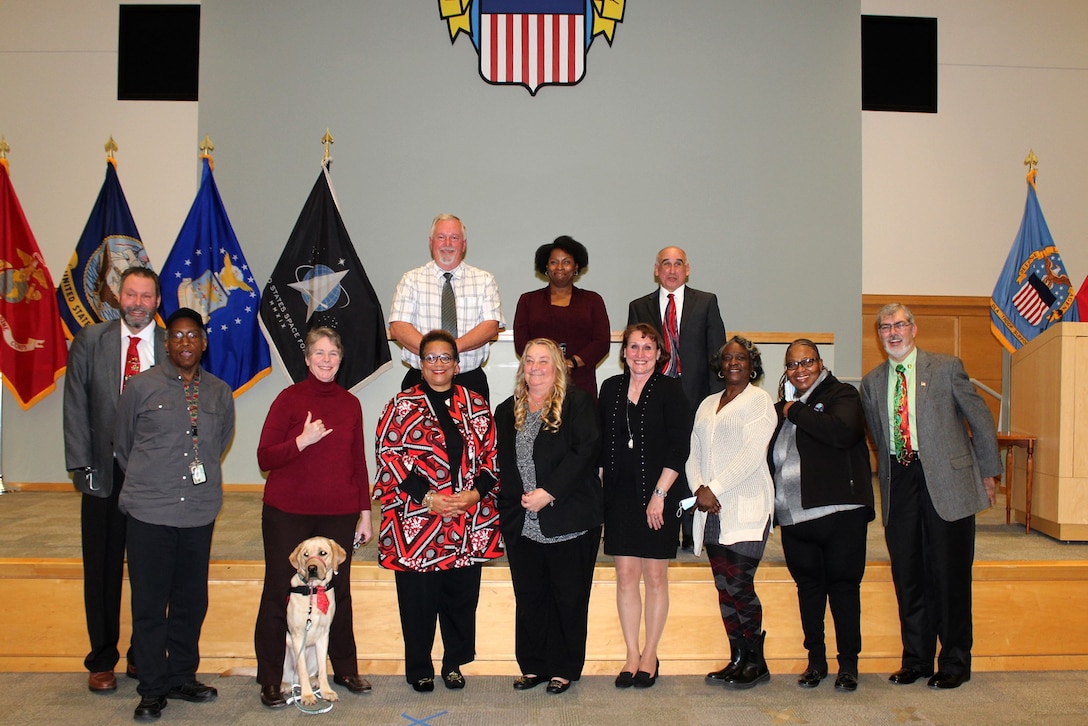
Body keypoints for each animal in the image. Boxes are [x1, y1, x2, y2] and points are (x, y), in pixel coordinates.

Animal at [285, 537, 343, 705]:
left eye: (322, 553)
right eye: (305, 554)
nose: (311, 568)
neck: (314, 591)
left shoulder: (323, 636)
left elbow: (323, 669)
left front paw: (326, 691)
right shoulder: (297, 636)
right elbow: (302, 669)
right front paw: (307, 695)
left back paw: (314, 681)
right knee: (290, 676)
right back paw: (285, 686)